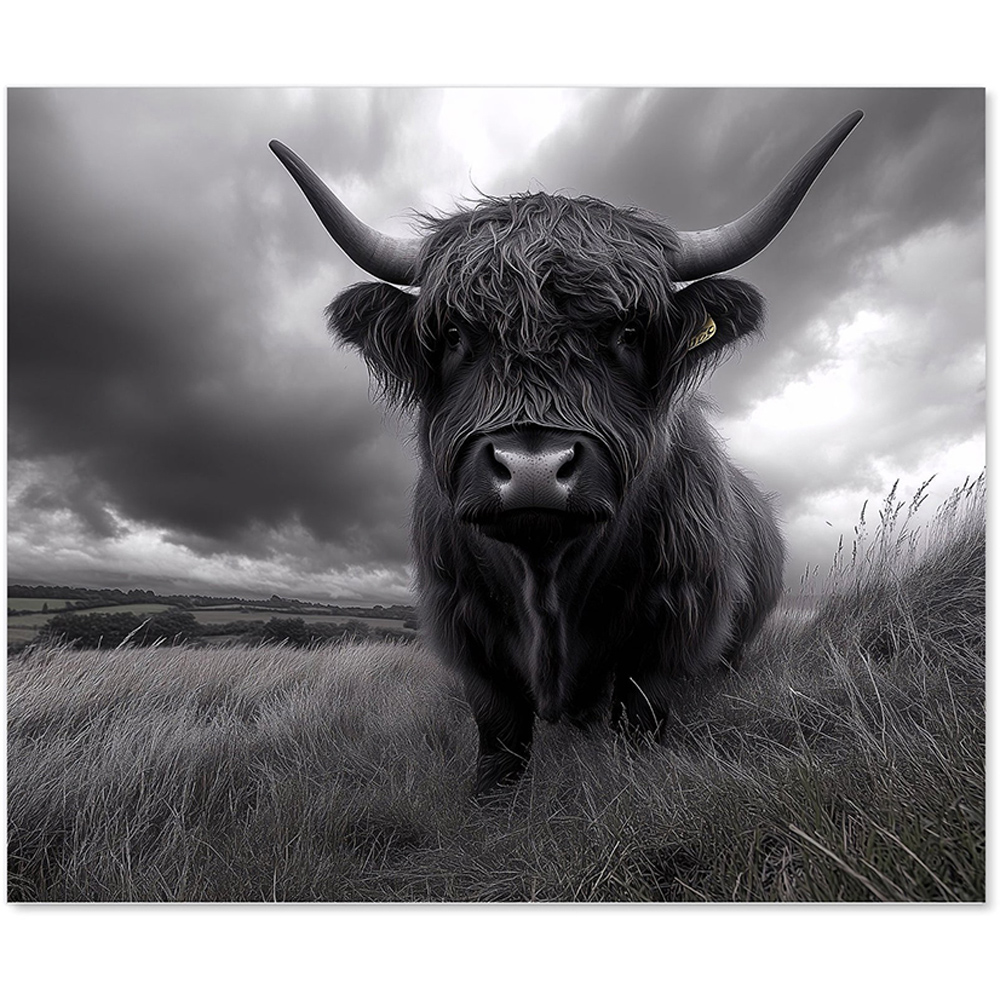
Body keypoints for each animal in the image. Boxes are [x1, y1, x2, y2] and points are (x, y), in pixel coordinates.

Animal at [270, 110, 863, 796]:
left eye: (628, 332)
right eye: (454, 334)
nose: (533, 470)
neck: (547, 581)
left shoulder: (671, 630)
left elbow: (640, 722)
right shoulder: (467, 634)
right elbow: (499, 739)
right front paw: (491, 803)